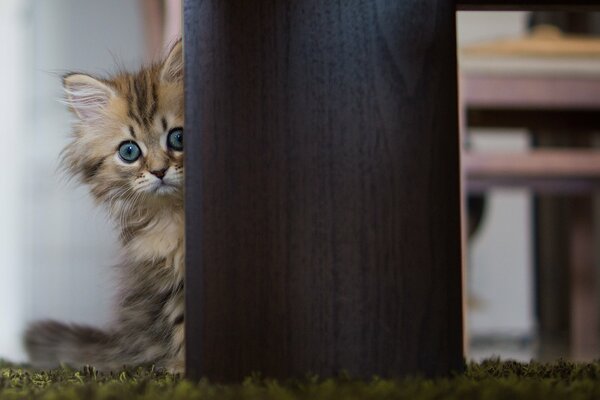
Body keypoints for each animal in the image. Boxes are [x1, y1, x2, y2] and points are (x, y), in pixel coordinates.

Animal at [24, 39, 185, 372]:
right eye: (129, 151)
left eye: (178, 138)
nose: (159, 171)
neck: (175, 216)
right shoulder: (167, 278)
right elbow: (180, 321)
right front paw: (183, 367)